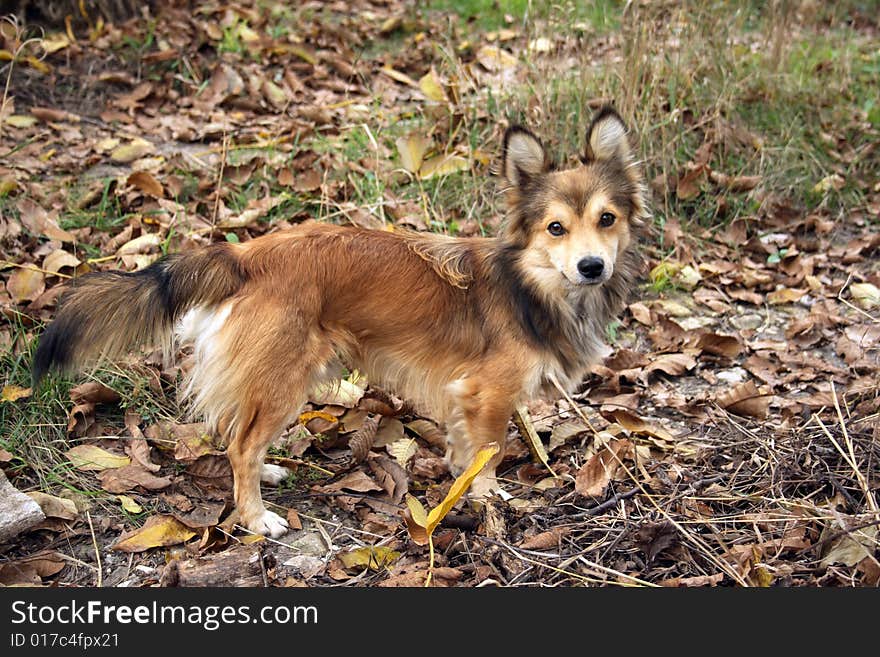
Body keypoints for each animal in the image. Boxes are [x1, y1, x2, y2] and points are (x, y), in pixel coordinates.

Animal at [34, 107, 648, 536]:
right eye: (555, 228)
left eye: (607, 219)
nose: (592, 266)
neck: (532, 285)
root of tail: (245, 254)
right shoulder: (487, 394)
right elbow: (491, 449)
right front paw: (488, 495)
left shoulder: (461, 395)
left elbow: (464, 448)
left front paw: (462, 481)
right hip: (284, 378)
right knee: (241, 447)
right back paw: (256, 516)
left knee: (237, 433)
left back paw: (264, 477)